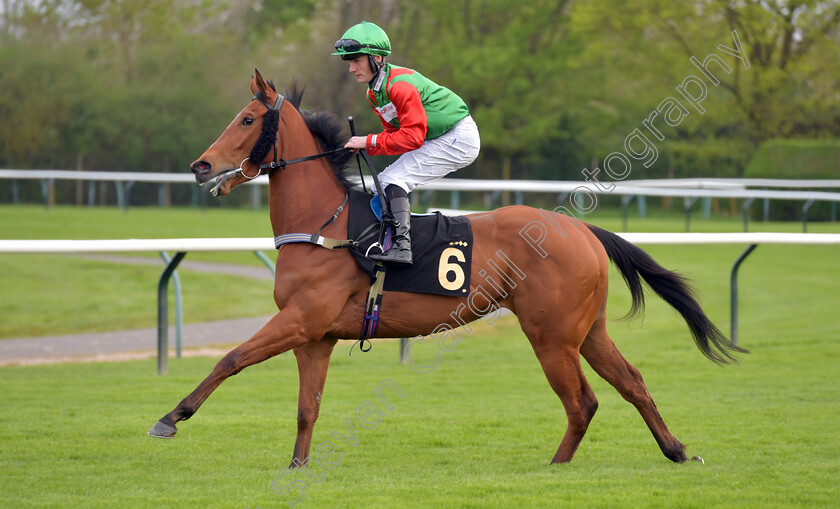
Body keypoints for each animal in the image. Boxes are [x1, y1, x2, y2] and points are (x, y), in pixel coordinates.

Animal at [148, 69, 744, 466]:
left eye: (247, 119)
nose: (201, 164)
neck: (325, 224)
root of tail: (581, 230)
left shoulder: (300, 319)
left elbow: (231, 358)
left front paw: (170, 418)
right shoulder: (315, 336)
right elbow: (306, 408)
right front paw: (297, 466)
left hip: (551, 336)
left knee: (583, 401)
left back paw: (556, 466)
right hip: (587, 330)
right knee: (632, 383)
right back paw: (675, 450)